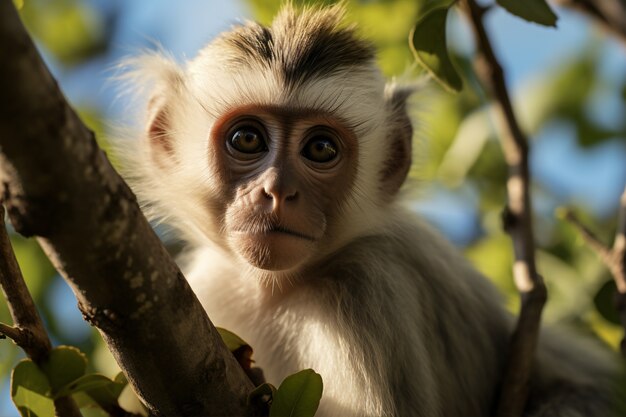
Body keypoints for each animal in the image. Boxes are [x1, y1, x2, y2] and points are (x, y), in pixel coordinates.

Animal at [114, 4, 616, 416]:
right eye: (247, 139)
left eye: (320, 148)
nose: (277, 191)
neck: (277, 290)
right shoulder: (211, 286)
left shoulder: (369, 298)